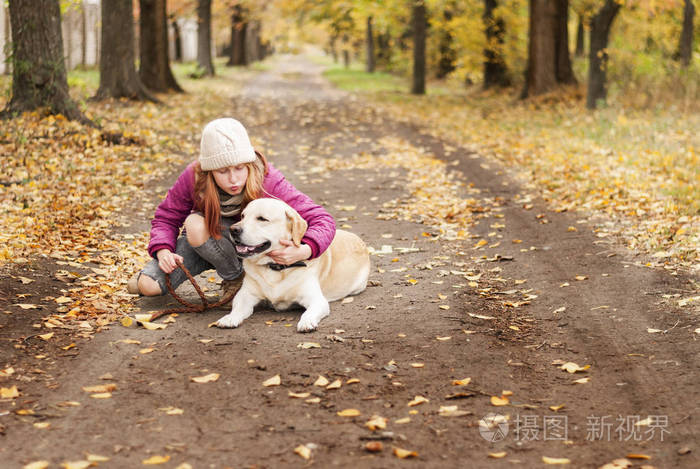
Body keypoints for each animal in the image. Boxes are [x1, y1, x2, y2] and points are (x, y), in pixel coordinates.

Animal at [216, 197, 372, 332]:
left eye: (262, 219)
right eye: (243, 216)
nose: (233, 229)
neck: (275, 268)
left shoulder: (317, 300)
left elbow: (308, 312)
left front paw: (307, 322)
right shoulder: (245, 295)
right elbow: (237, 308)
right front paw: (229, 318)